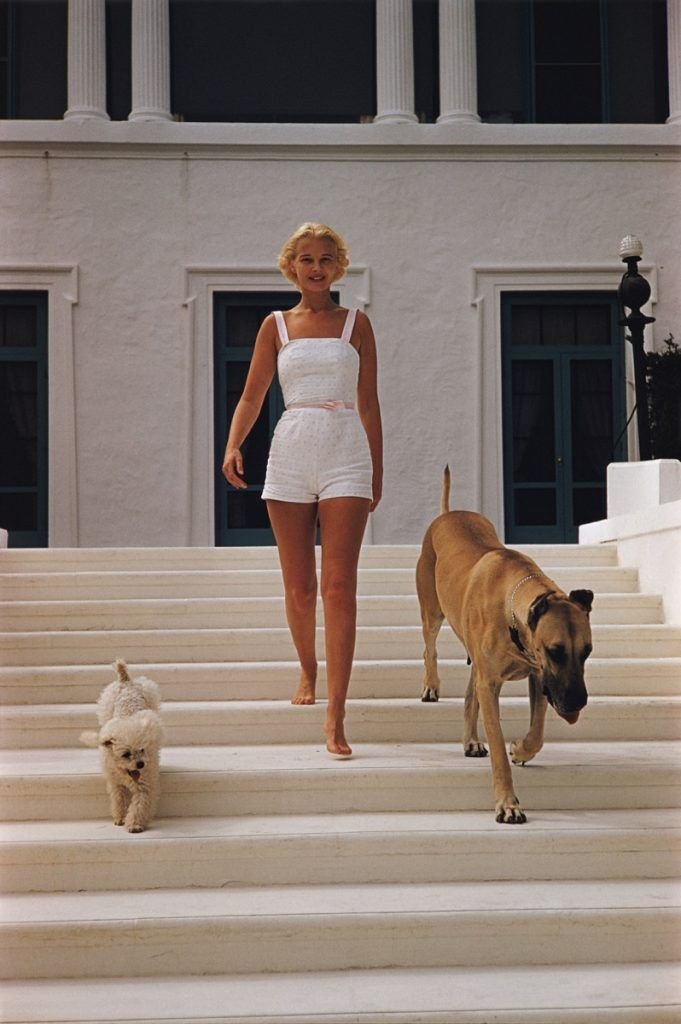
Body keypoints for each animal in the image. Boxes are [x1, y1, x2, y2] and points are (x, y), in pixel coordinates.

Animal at [80, 659, 163, 833]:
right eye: (126, 754)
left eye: (142, 750)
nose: (141, 764)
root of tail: (125, 680)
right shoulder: (116, 785)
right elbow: (119, 800)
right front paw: (120, 818)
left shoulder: (144, 786)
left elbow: (139, 805)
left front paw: (134, 825)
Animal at [416, 468, 593, 824]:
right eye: (555, 651)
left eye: (587, 652)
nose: (577, 703)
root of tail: (448, 513)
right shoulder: (496, 682)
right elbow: (496, 745)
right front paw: (508, 803)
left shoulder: (538, 675)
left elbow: (537, 729)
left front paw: (522, 749)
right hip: (432, 611)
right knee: (430, 647)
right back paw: (431, 685)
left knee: (470, 694)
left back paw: (471, 740)